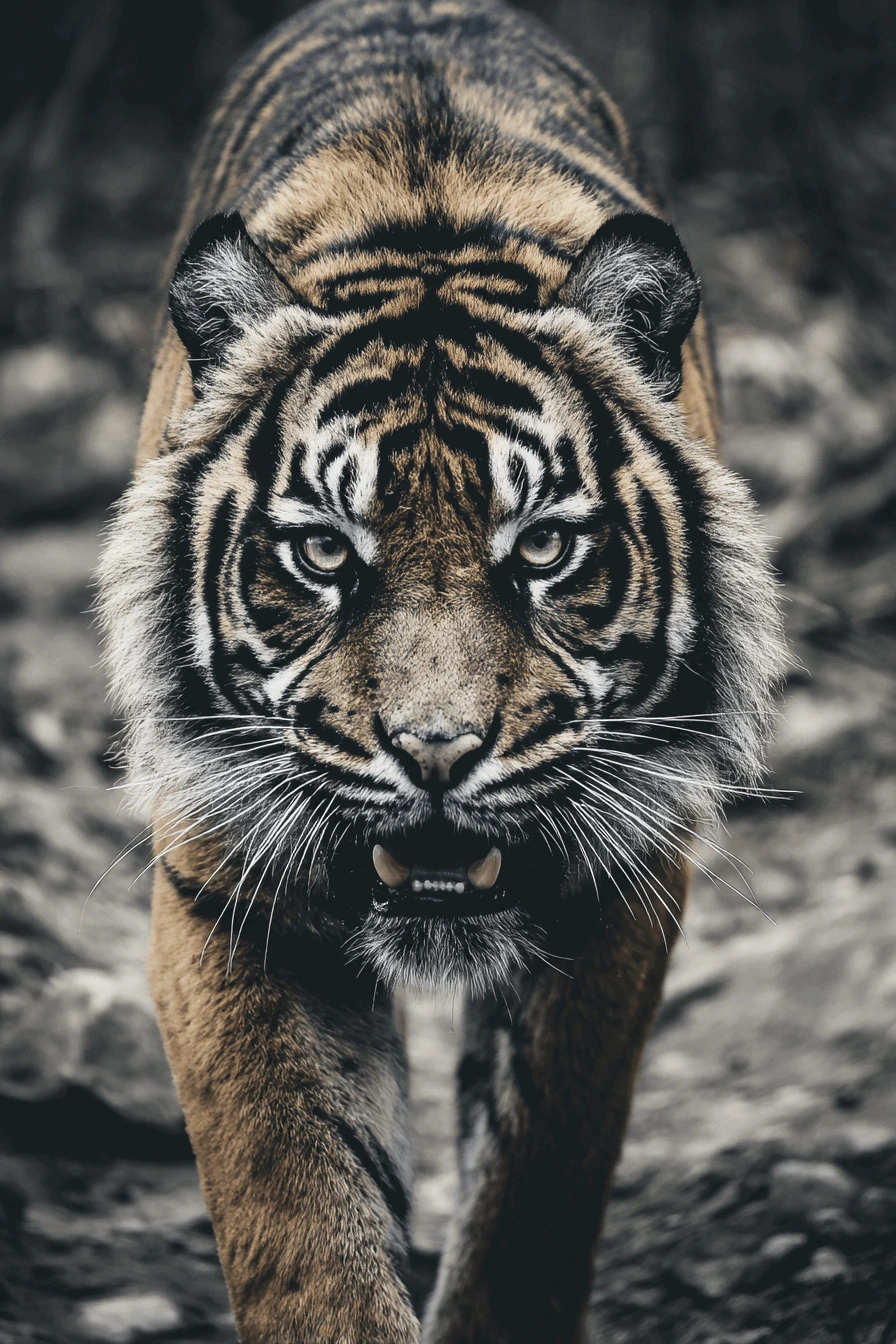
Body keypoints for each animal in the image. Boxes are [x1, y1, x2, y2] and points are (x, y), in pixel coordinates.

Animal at [97, 0, 786, 1340]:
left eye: (544, 548)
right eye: (321, 550)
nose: (434, 753)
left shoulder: (614, 889)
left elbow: (529, 1192)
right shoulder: (226, 889)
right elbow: (300, 1220)